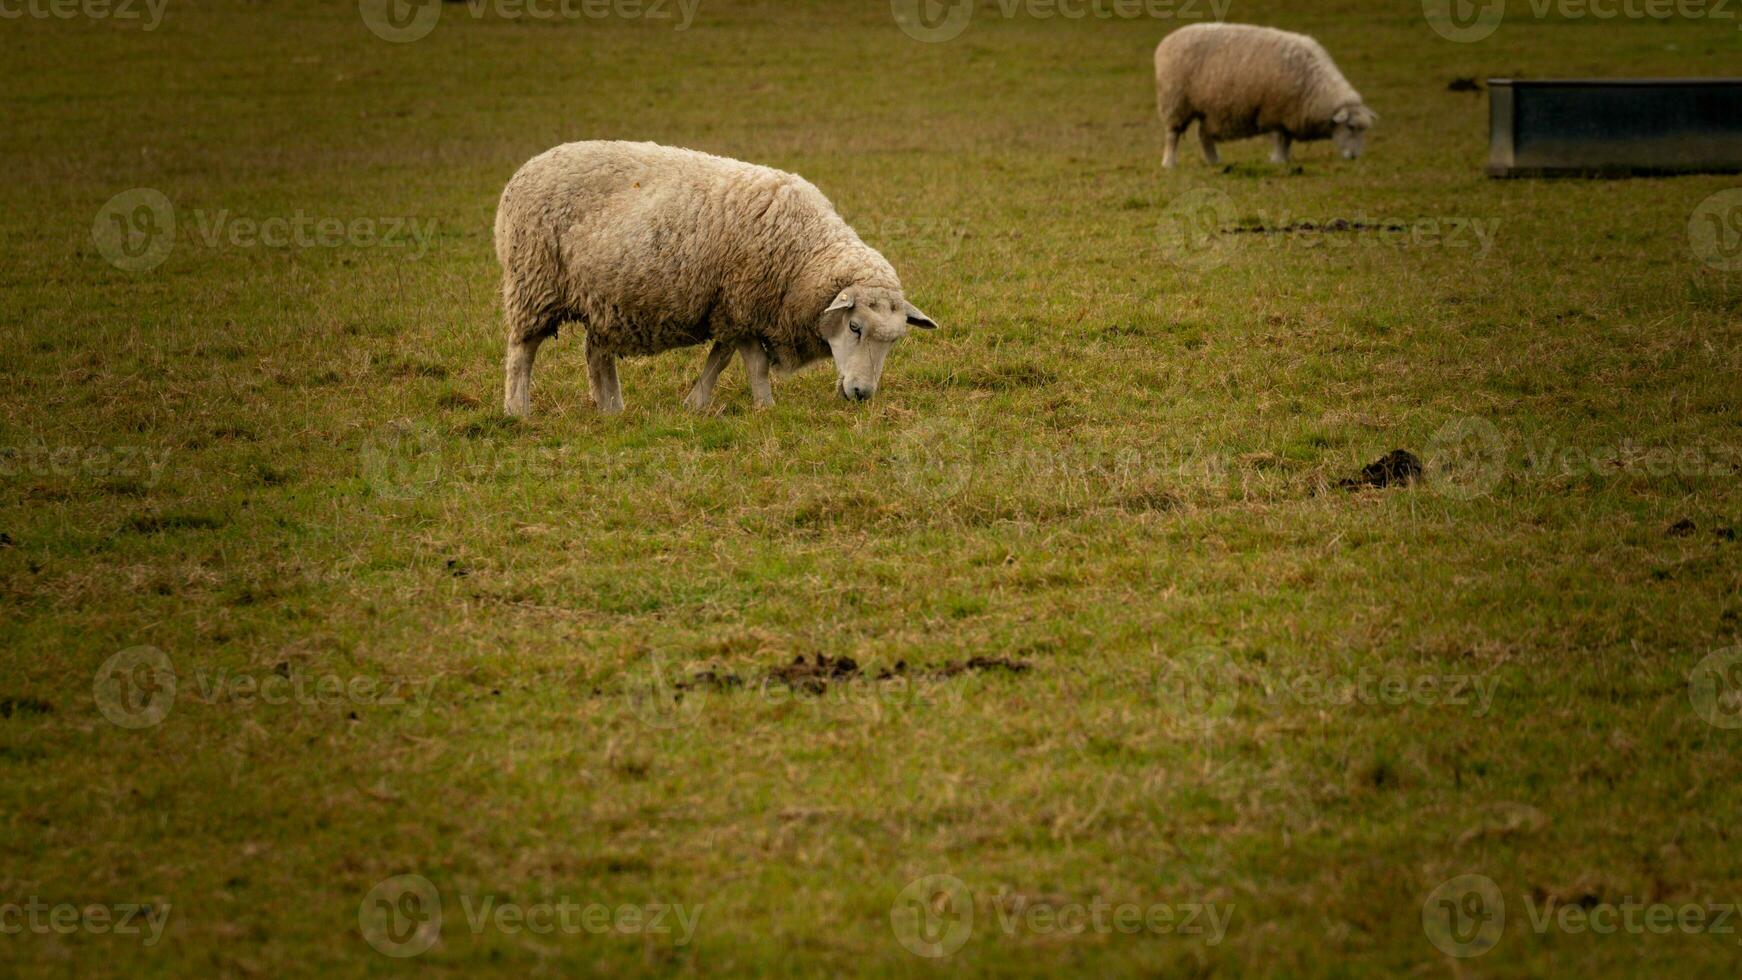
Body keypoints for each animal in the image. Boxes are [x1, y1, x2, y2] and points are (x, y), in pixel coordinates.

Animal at [491, 138, 940, 414]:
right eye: (855, 326)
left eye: (894, 341)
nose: (862, 394)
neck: (805, 252)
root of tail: (526, 168)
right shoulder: (741, 303)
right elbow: (754, 364)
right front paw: (765, 406)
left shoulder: (730, 308)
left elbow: (720, 359)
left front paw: (695, 402)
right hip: (533, 280)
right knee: (521, 351)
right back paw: (517, 410)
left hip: (604, 297)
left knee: (596, 353)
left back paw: (612, 409)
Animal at [1149, 22, 1379, 167]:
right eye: (1350, 127)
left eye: (1364, 130)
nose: (1354, 157)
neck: (1314, 87)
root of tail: (1166, 41)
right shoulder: (1273, 111)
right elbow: (1279, 138)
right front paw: (1278, 160)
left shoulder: (1288, 114)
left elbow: (1286, 139)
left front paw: (1284, 159)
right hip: (1176, 102)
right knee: (1173, 135)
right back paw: (1169, 163)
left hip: (1209, 109)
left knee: (1204, 135)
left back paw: (1214, 162)